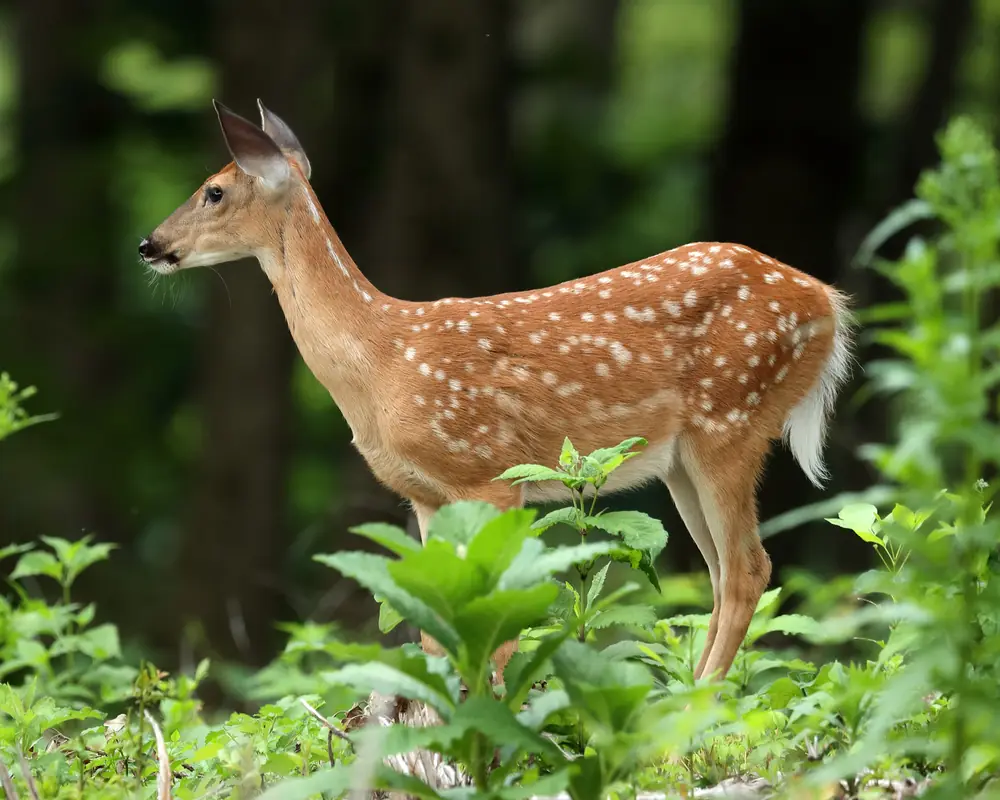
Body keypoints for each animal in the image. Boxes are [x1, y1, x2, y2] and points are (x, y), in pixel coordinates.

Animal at [139, 99, 853, 687]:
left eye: (213, 191)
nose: (150, 244)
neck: (380, 362)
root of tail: (828, 302)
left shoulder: (489, 470)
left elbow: (498, 616)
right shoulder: (427, 494)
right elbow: (438, 625)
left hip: (731, 417)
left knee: (748, 568)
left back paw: (694, 708)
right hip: (681, 457)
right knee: (719, 573)